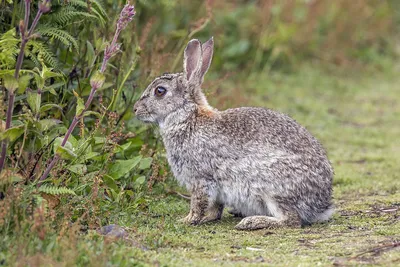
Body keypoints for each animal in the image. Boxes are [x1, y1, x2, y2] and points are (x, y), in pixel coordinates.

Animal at [134, 37, 334, 230]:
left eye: (160, 91)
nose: (135, 109)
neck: (188, 116)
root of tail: (321, 205)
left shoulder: (201, 178)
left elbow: (198, 203)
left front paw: (187, 220)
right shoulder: (215, 190)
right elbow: (214, 208)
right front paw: (207, 218)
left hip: (272, 187)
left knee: (291, 220)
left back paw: (251, 222)